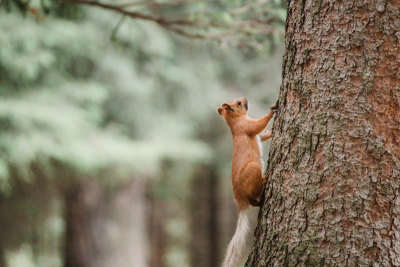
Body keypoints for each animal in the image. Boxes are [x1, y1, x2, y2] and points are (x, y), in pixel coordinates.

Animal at [216, 98, 278, 267]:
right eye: (238, 103)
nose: (245, 99)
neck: (235, 122)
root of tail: (240, 199)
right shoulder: (246, 127)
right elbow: (258, 125)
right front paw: (271, 110)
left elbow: (263, 134)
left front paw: (273, 131)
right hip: (253, 169)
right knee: (254, 195)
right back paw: (264, 180)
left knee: (254, 202)